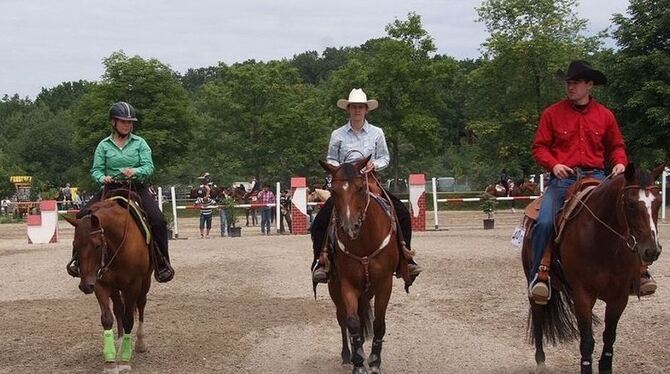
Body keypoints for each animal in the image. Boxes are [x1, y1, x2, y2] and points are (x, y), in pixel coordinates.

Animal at [63, 193, 152, 374]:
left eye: (97, 245)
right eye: (75, 245)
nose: (85, 286)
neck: (117, 245)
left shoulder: (133, 285)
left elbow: (129, 319)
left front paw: (124, 359)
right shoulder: (100, 284)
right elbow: (107, 318)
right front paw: (110, 361)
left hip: (144, 283)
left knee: (140, 305)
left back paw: (139, 343)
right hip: (115, 287)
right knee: (118, 308)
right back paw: (119, 342)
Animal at [322, 157, 410, 374]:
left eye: (361, 188)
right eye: (333, 190)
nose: (349, 227)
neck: (364, 242)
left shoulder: (384, 283)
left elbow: (379, 324)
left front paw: (375, 362)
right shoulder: (347, 283)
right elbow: (352, 323)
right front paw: (358, 363)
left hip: (367, 291)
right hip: (335, 288)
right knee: (342, 318)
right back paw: (348, 355)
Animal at [524, 164, 664, 374]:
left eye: (658, 203)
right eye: (631, 204)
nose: (651, 251)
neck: (603, 239)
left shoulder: (619, 297)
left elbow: (609, 336)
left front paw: (605, 367)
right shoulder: (583, 295)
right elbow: (587, 341)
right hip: (533, 285)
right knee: (539, 316)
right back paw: (540, 361)